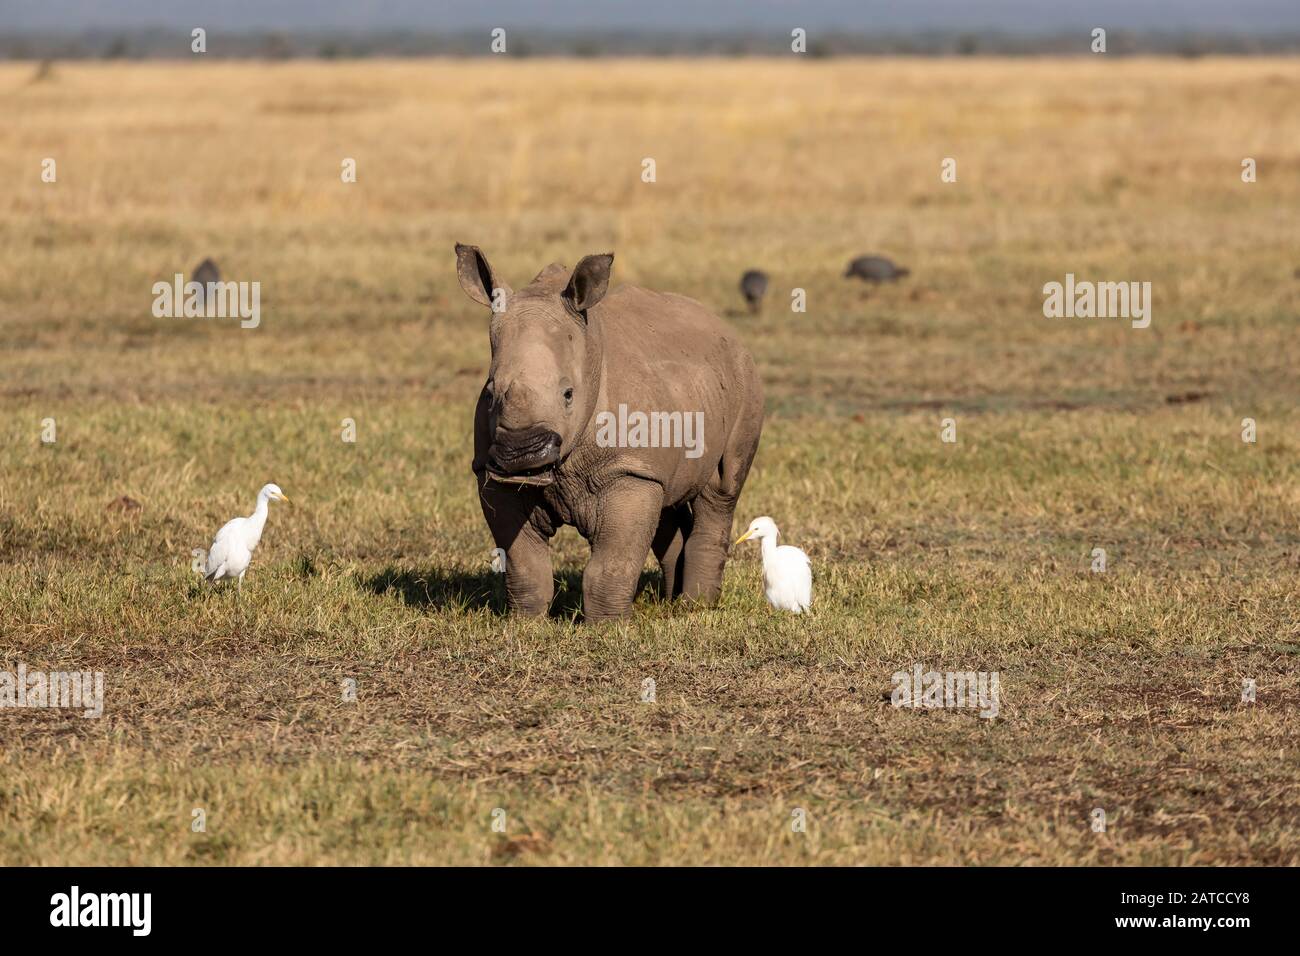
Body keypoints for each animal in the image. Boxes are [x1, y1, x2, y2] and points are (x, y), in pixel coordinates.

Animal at [456, 244, 764, 621]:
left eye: (568, 394)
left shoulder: (627, 470)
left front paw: (607, 625)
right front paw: (525, 621)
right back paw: (673, 602)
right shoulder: (491, 473)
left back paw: (696, 606)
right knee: (667, 498)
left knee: (721, 491)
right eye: (489, 393)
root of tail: (725, 328)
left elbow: (613, 562)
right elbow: (523, 562)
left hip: (744, 378)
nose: (521, 453)